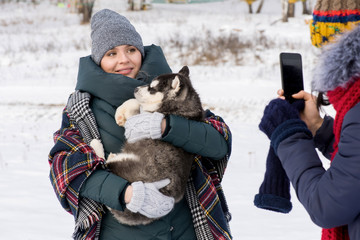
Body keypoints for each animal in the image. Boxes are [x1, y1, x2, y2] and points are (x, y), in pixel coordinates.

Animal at [105, 66, 205, 226]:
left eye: (152, 89)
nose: (136, 88)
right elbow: (135, 103)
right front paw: (122, 111)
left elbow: (139, 107)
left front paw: (121, 114)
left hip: (131, 162)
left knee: (109, 163)